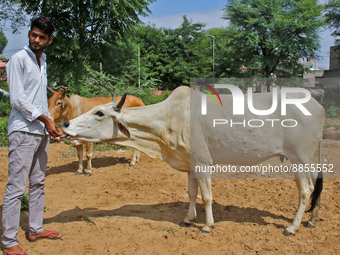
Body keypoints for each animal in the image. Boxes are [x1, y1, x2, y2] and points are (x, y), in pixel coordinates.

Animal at [62, 85, 326, 235]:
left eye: (99, 113)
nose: (65, 125)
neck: (169, 118)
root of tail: (318, 105)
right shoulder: (190, 164)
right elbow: (191, 193)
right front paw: (189, 219)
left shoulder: (202, 161)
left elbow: (206, 196)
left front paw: (208, 225)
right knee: (314, 189)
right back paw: (312, 219)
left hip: (299, 158)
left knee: (305, 190)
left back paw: (292, 227)